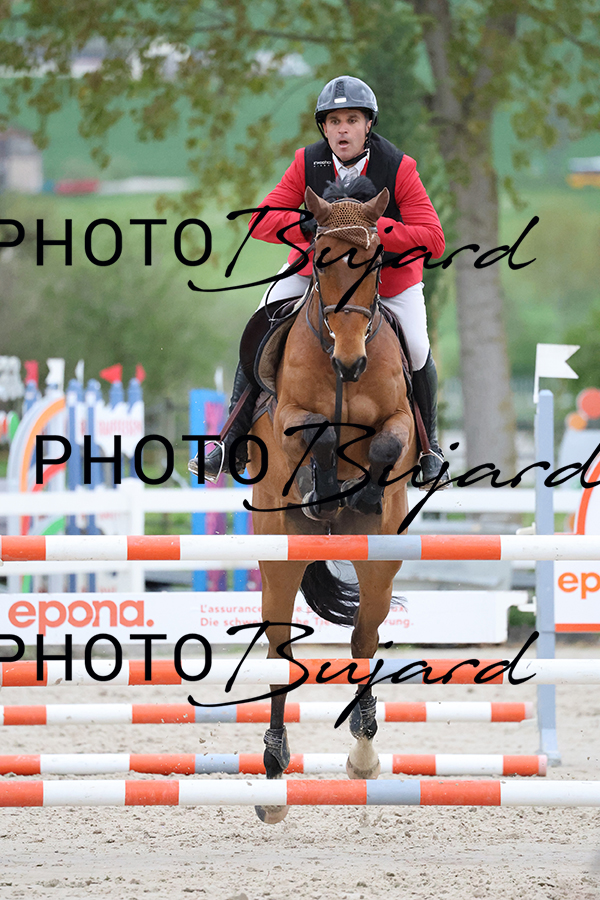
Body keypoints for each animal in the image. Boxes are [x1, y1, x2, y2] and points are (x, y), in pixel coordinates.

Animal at [247, 178, 419, 823]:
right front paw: (321, 488)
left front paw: (363, 491)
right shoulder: (290, 418)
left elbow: (388, 441)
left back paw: (364, 753)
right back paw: (273, 771)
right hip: (278, 554)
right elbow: (316, 431)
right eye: (319, 259)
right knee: (278, 648)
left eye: (376, 265)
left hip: (380, 567)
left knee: (363, 639)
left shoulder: (400, 421)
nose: (351, 361)